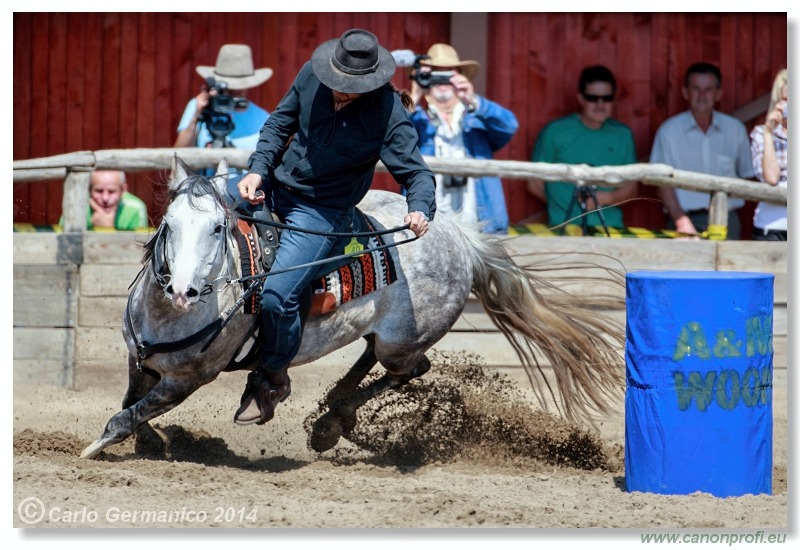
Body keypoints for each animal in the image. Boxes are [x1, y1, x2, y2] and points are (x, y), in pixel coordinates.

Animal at [83, 156, 632, 462]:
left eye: (218, 229)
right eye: (168, 224)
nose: (183, 290)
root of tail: (459, 236)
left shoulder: (189, 380)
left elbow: (124, 417)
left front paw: (93, 450)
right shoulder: (141, 361)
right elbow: (131, 404)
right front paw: (151, 443)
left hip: (404, 341)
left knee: (409, 369)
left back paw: (330, 419)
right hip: (384, 334)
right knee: (373, 360)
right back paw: (329, 412)